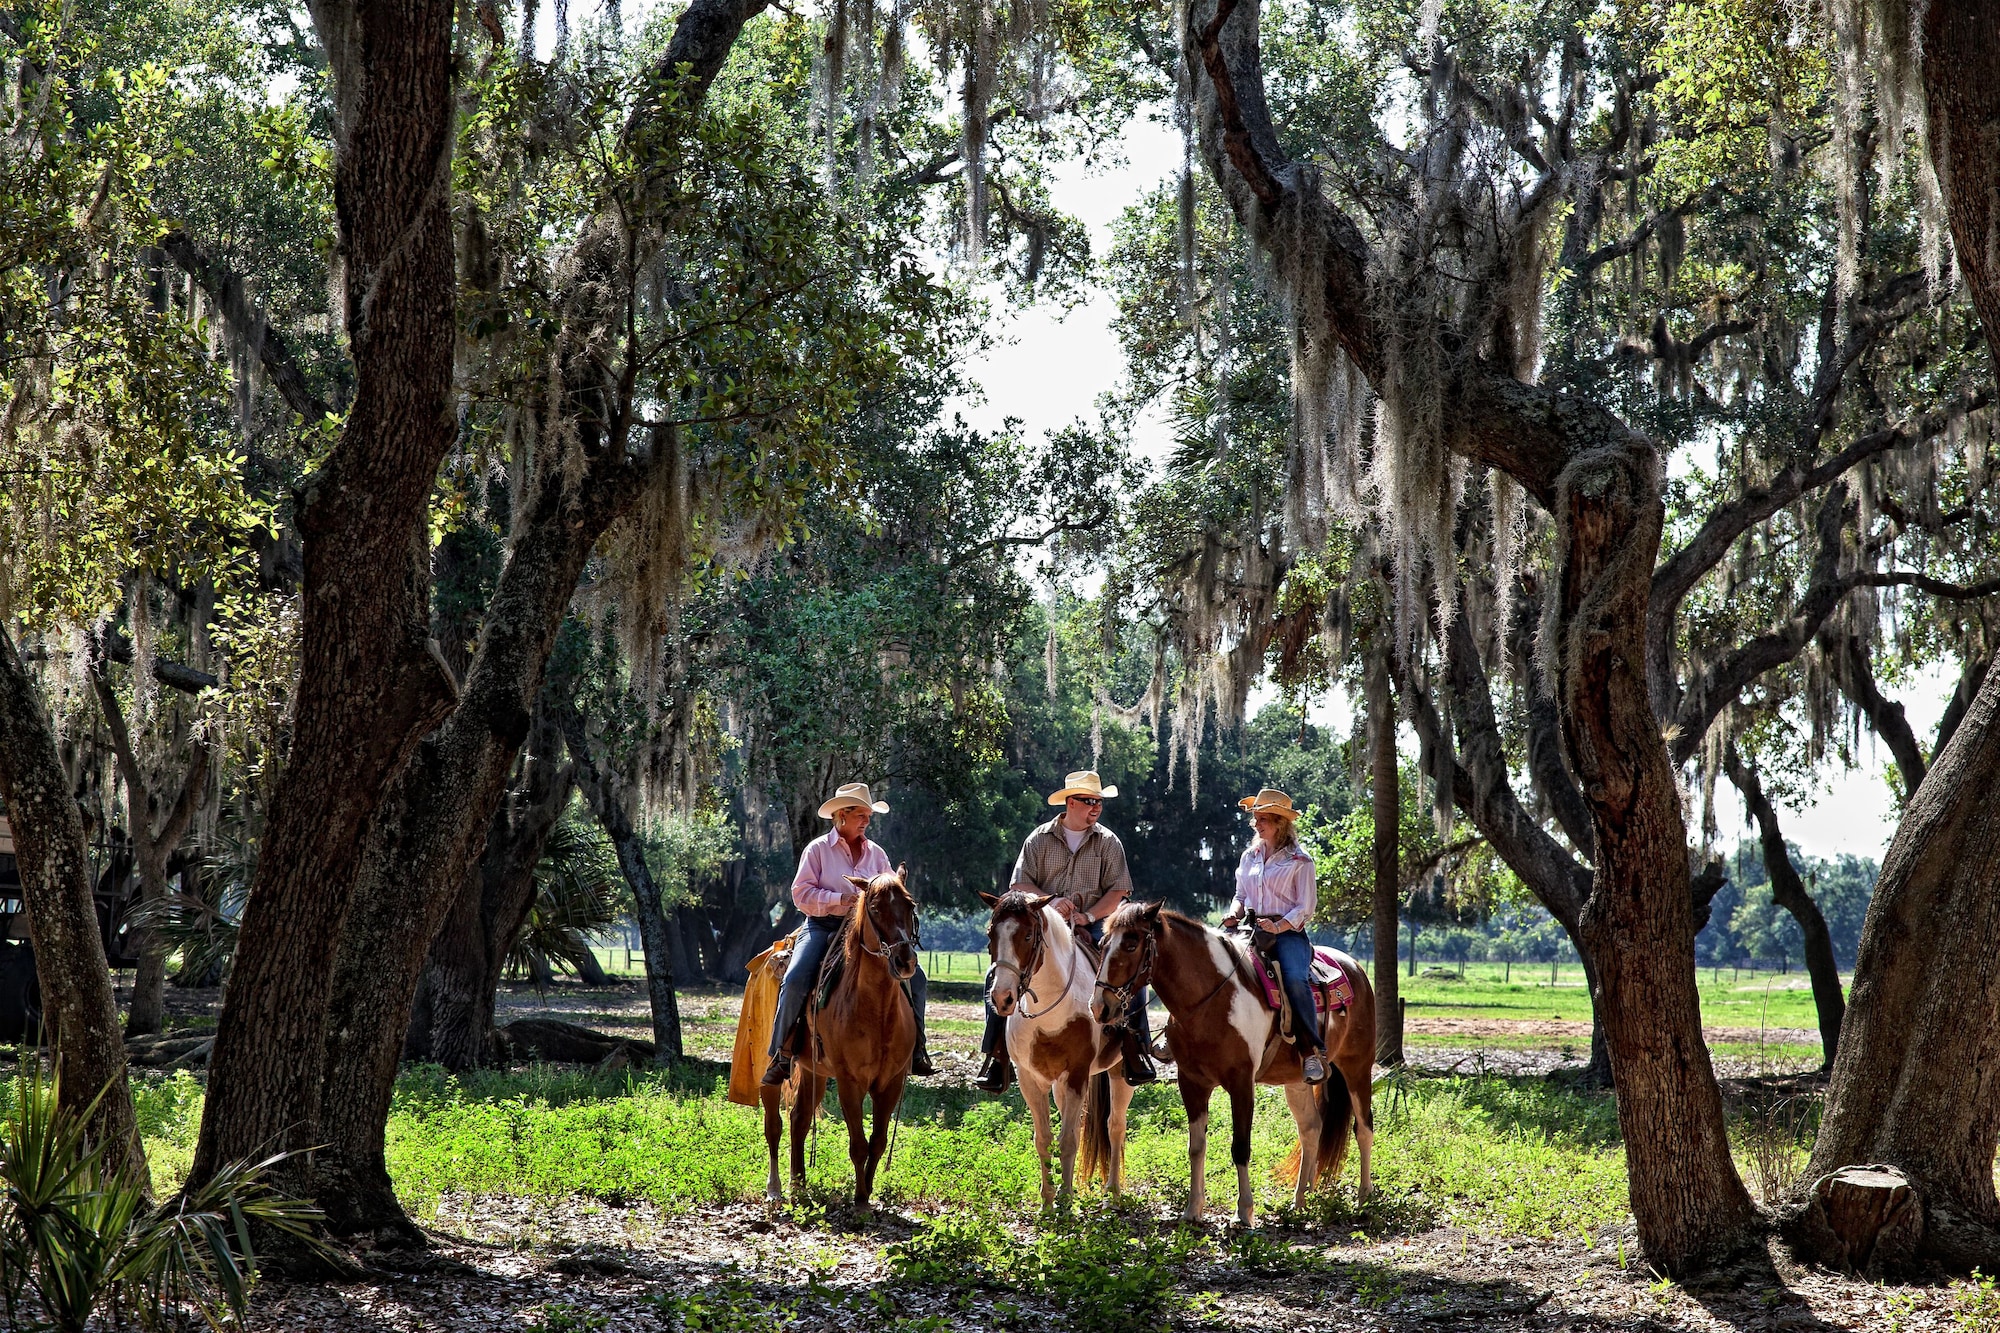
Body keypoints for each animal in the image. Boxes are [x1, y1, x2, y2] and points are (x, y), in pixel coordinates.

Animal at [764, 868, 920, 1208]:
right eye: (875, 909)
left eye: (910, 905)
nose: (905, 961)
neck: (877, 1012)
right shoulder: (850, 1082)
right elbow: (858, 1144)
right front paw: (859, 1200)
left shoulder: (890, 1083)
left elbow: (877, 1141)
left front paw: (867, 1192)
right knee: (775, 1122)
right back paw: (776, 1188)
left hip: (813, 1069)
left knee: (799, 1118)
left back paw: (799, 1184)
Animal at [980, 888, 1136, 1200]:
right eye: (991, 933)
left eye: (1028, 936)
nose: (1002, 998)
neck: (1050, 1013)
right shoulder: (1030, 1079)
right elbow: (1044, 1139)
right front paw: (1048, 1200)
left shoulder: (1076, 1075)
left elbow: (1068, 1140)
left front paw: (1065, 1200)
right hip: (1059, 1084)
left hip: (1119, 1073)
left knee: (1115, 1126)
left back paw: (1113, 1191)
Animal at [1096, 896, 1376, 1216]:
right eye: (1102, 944)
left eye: (1131, 944)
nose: (1100, 1006)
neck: (1213, 999)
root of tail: (1355, 967)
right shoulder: (1191, 1082)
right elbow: (1196, 1147)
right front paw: (1193, 1209)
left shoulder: (1241, 1083)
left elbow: (1240, 1147)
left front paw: (1244, 1212)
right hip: (1296, 1081)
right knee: (1310, 1129)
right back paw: (1299, 1201)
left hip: (1358, 1066)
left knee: (1364, 1127)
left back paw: (1364, 1198)